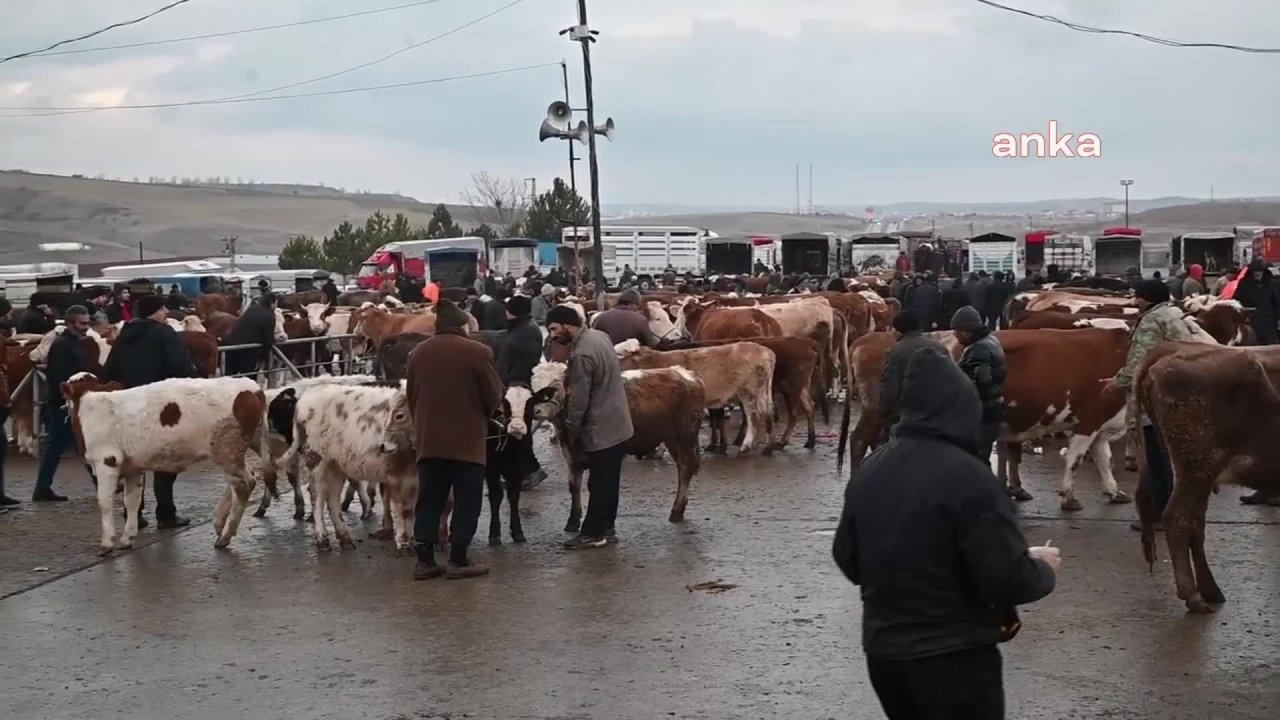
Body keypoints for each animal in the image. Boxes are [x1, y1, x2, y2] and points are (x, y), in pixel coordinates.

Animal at [60, 371, 272, 550]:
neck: (91, 405)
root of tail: (251, 387)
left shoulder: (107, 463)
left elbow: (104, 501)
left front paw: (106, 542)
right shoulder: (133, 468)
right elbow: (132, 501)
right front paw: (128, 537)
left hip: (227, 450)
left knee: (243, 484)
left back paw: (226, 535)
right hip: (242, 448)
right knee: (247, 479)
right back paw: (220, 523)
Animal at [279, 384, 419, 550]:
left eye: (399, 416)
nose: (383, 445)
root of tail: (309, 394)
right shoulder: (399, 474)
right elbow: (404, 510)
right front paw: (404, 542)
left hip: (336, 465)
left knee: (332, 496)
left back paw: (344, 537)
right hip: (316, 459)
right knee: (317, 496)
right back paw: (322, 539)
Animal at [527, 361, 711, 530]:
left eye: (554, 386)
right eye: (534, 388)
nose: (536, 411)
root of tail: (685, 373)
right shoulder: (571, 455)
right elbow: (574, 487)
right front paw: (572, 521)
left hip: (686, 436)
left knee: (686, 469)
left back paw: (676, 511)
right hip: (672, 439)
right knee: (682, 468)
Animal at [614, 338, 773, 450]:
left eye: (619, 354)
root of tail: (765, 351)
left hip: (750, 392)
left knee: (754, 416)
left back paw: (746, 446)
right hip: (763, 391)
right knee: (768, 411)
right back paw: (768, 446)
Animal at [1131, 340, 1280, 609]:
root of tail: (1176, 348)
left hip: (1200, 474)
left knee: (1194, 525)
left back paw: (1210, 590)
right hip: (1198, 469)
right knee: (1178, 519)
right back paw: (1193, 596)